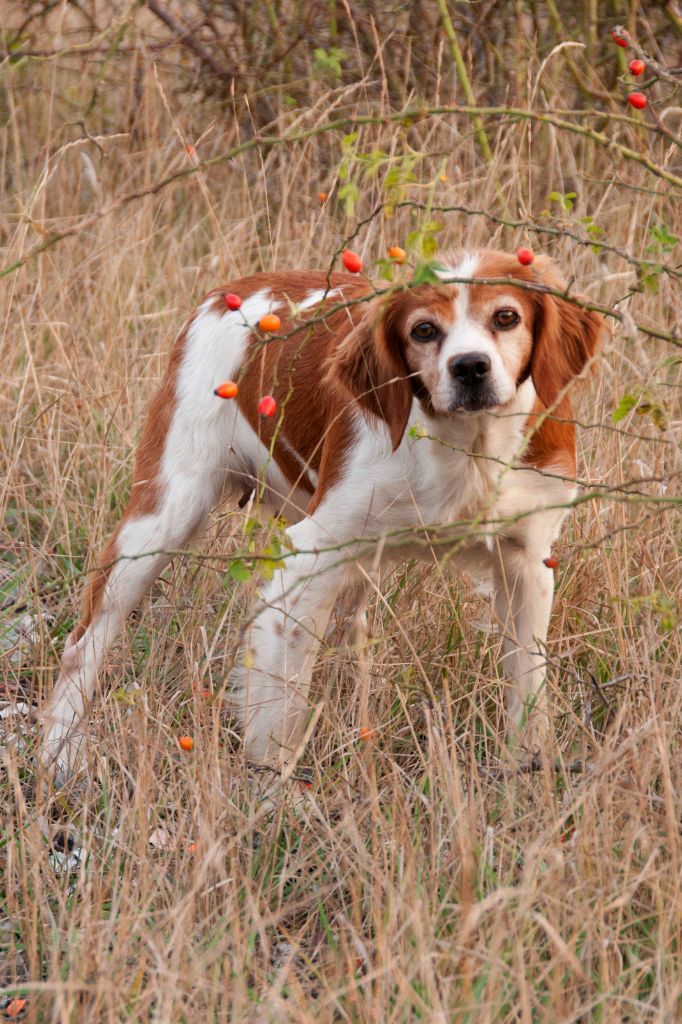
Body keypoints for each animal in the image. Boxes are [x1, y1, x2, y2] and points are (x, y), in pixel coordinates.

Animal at [41, 251, 602, 778]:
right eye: (423, 329)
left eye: (506, 317)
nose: (469, 367)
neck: (466, 450)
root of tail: (230, 291)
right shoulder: (309, 558)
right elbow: (276, 719)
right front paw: (274, 794)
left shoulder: (527, 563)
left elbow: (529, 694)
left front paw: (530, 772)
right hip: (161, 518)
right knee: (83, 645)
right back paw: (60, 754)